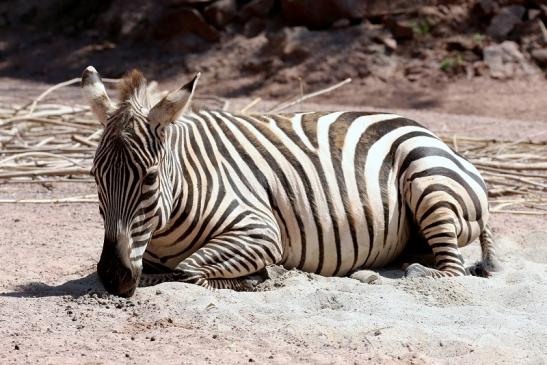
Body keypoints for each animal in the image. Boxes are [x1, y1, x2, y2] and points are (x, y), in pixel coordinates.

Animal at [81, 67, 500, 298]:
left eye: (150, 178)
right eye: (95, 177)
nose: (113, 277)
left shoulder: (261, 231)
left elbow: (187, 272)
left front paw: (259, 278)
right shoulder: (143, 253)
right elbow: (159, 272)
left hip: (427, 174)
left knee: (451, 271)